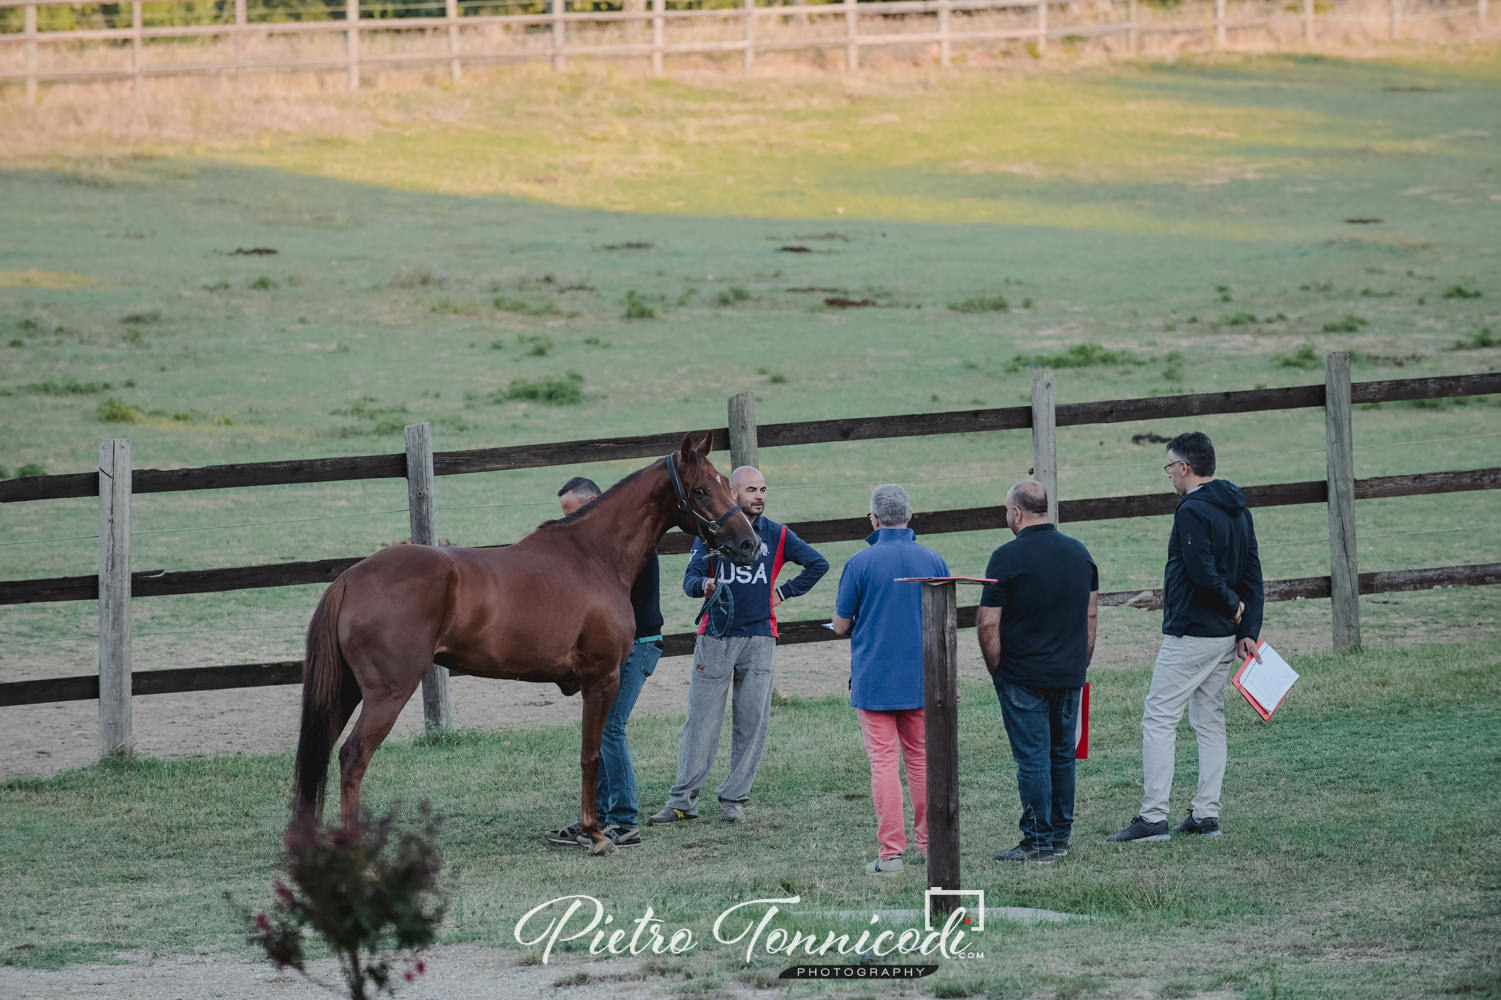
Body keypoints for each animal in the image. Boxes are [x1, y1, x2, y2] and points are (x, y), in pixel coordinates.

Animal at [292, 429, 762, 846]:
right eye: (701, 490)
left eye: (726, 484)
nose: (748, 544)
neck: (594, 556)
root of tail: (350, 579)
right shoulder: (602, 677)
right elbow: (592, 755)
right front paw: (596, 834)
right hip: (387, 693)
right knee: (353, 757)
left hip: (347, 690)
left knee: (321, 755)